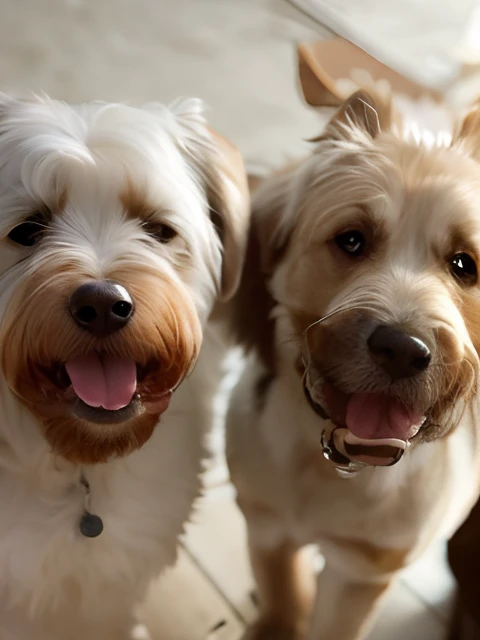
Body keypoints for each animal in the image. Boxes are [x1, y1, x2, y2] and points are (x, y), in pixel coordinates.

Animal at [227, 60, 480, 640]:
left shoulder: (362, 572)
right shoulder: (267, 525)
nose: (402, 350)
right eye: (351, 239)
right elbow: (282, 604)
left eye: (465, 264)